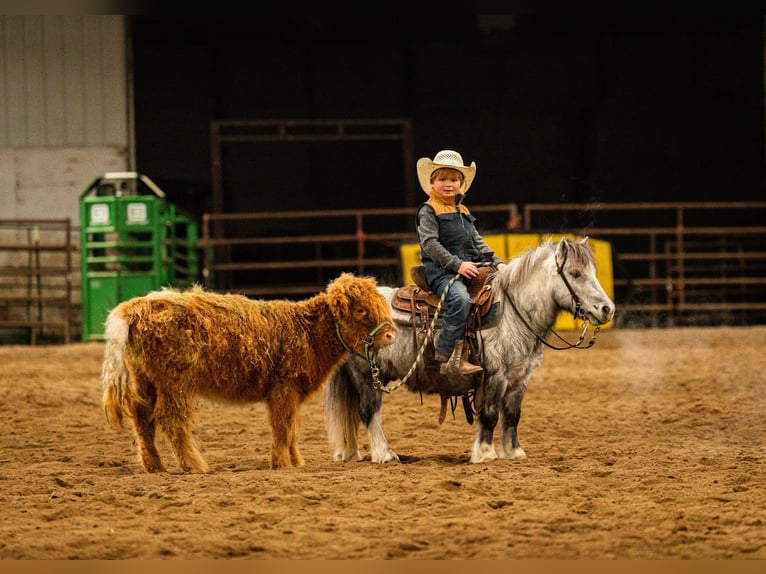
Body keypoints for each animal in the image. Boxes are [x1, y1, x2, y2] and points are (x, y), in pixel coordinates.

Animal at [102, 273, 396, 473]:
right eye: (361, 309)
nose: (391, 335)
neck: (307, 332)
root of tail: (138, 305)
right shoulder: (283, 388)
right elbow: (282, 425)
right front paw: (282, 462)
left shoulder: (290, 393)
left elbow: (291, 427)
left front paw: (294, 461)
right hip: (175, 382)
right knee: (171, 419)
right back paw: (194, 465)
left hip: (145, 380)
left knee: (142, 418)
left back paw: (154, 465)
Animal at [323, 237, 615, 464]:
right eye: (575, 273)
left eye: (593, 272)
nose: (607, 309)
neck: (512, 311)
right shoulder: (495, 376)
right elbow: (490, 415)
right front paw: (485, 454)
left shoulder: (520, 379)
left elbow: (513, 416)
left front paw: (514, 452)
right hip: (367, 375)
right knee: (369, 412)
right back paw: (385, 454)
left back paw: (352, 453)